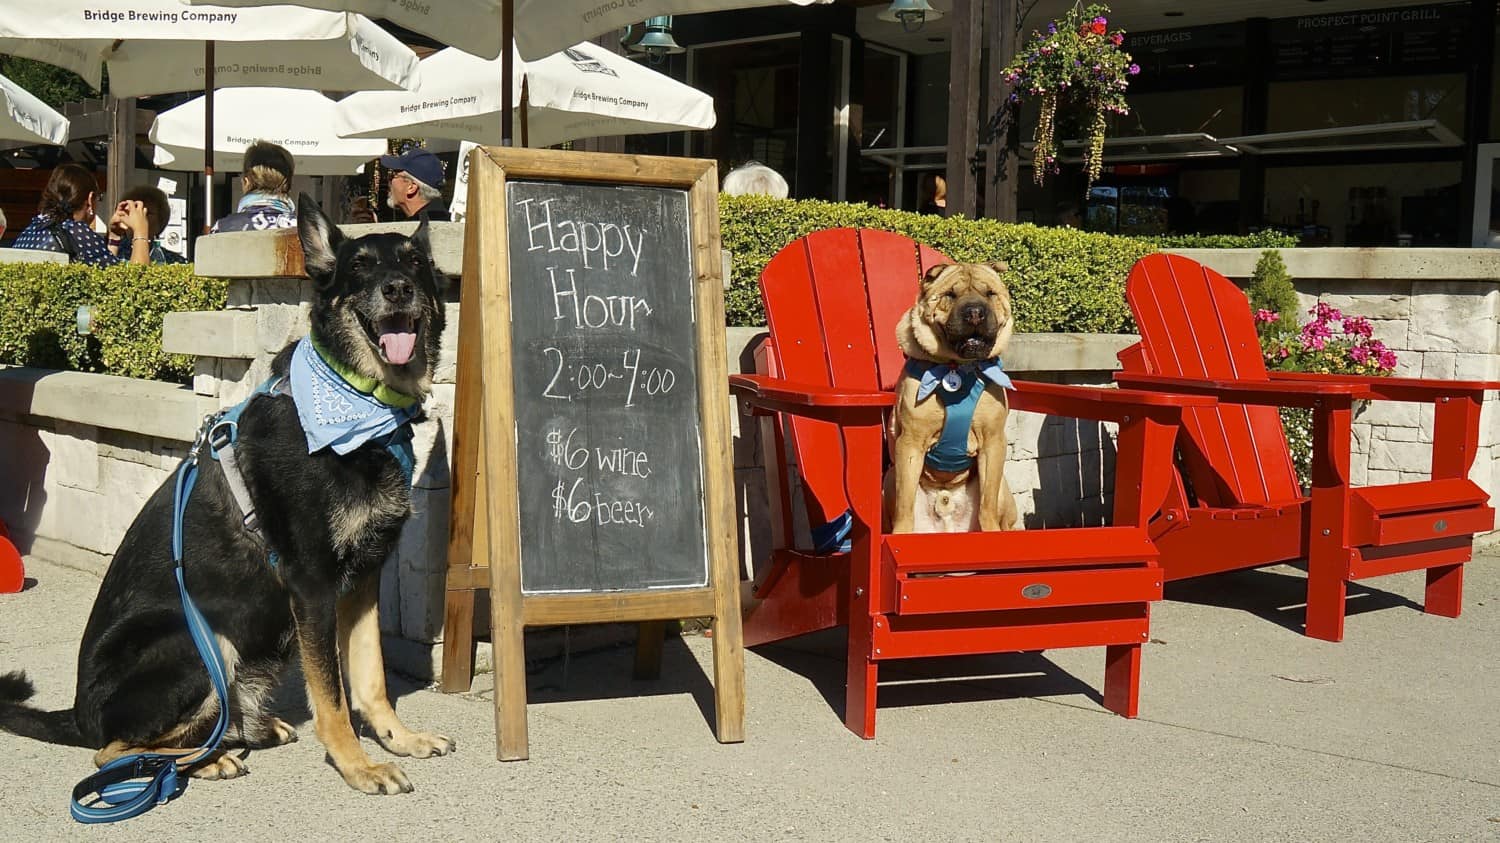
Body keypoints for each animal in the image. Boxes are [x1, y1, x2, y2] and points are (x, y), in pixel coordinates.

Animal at [2, 193, 453, 792]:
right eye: (360, 267)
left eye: (415, 263)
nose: (398, 288)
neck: (357, 403)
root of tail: (78, 714)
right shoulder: (312, 584)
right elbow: (332, 697)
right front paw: (355, 764)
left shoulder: (362, 579)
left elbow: (371, 676)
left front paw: (399, 739)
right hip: (202, 642)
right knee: (110, 751)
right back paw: (203, 759)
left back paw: (245, 731)